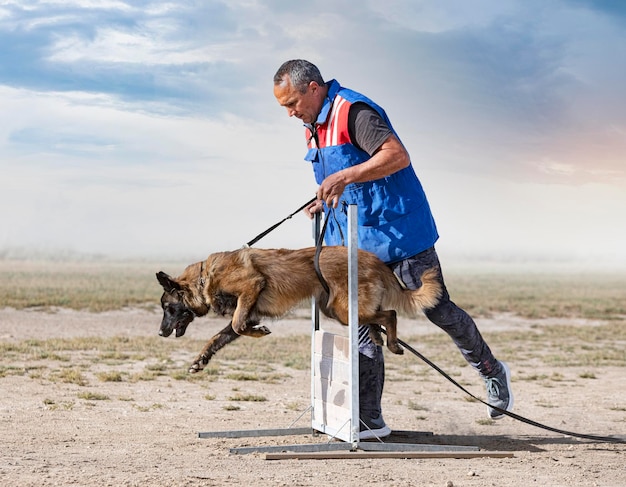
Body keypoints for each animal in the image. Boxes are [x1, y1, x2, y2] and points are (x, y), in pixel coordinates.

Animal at [155, 248, 438, 374]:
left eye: (168, 308)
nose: (159, 333)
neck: (205, 278)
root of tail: (374, 259)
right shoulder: (248, 309)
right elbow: (219, 336)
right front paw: (200, 360)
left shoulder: (251, 286)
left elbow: (236, 325)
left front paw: (259, 331)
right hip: (338, 311)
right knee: (378, 316)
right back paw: (379, 336)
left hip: (343, 310)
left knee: (390, 314)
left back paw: (392, 343)